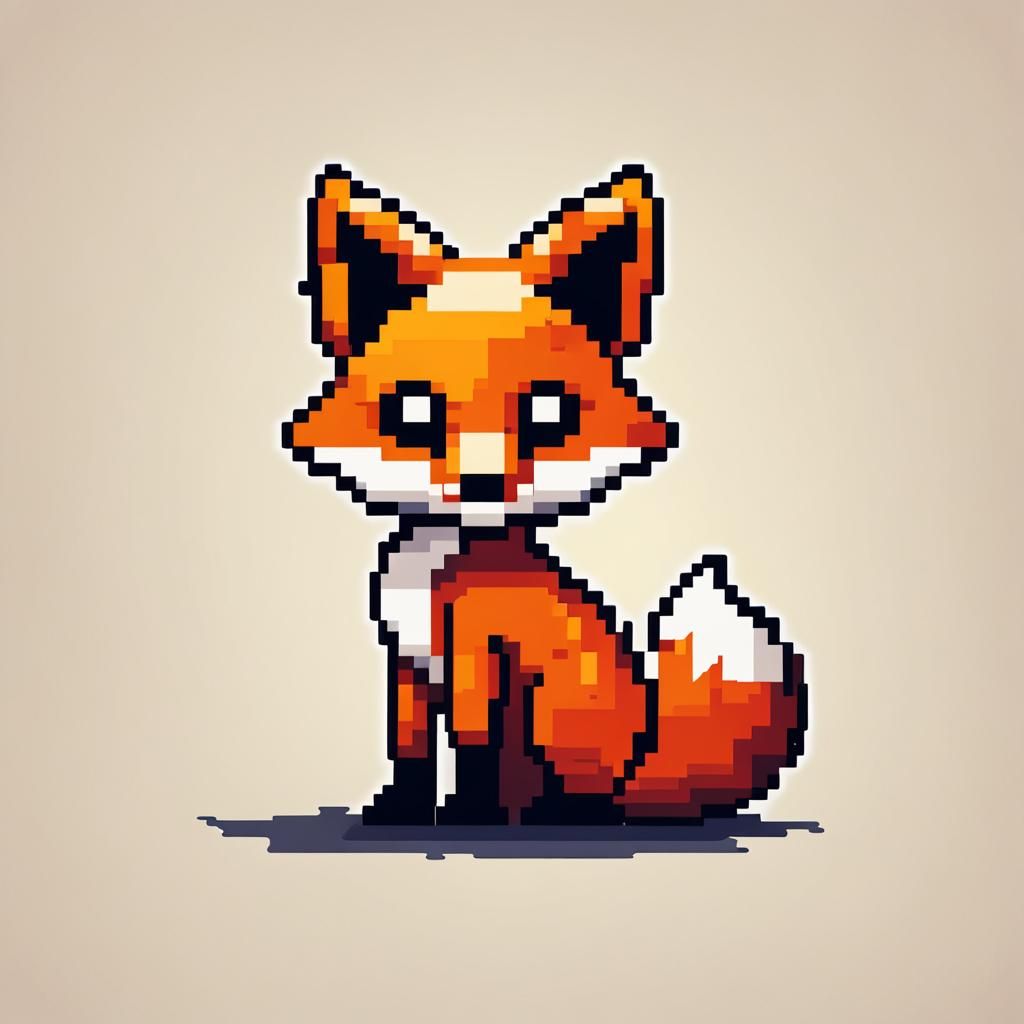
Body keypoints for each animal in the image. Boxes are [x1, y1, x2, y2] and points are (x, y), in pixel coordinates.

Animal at [282, 163, 807, 825]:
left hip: (556, 718)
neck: (436, 565)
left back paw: (558, 813)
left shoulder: (481, 654)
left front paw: (467, 815)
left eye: (548, 414)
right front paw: (399, 809)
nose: (482, 486)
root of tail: (642, 756)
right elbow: (411, 746)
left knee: (587, 795)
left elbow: (472, 745)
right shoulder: (407, 659)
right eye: (413, 413)